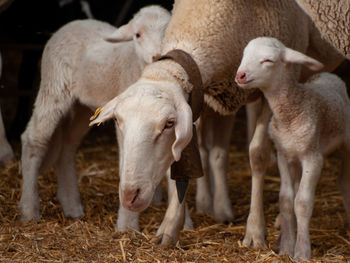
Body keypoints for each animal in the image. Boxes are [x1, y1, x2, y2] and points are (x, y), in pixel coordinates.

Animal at [19, 5, 174, 228]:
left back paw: (72, 207)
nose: (157, 56)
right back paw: (30, 210)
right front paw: (128, 225)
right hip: (54, 85)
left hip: (83, 107)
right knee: (34, 138)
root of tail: (72, 24)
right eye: (137, 34)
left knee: (67, 145)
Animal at [91, 0, 344, 248]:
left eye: (169, 124)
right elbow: (190, 154)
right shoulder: (200, 94)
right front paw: (170, 227)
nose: (129, 197)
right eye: (118, 120)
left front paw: (255, 231)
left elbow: (258, 155)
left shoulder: (272, 87)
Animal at [235, 36, 350, 260]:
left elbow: (302, 202)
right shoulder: (283, 154)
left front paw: (302, 252)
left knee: (345, 181)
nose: (240, 75)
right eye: (244, 55)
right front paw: (286, 247)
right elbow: (287, 200)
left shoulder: (313, 158)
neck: (292, 109)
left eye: (268, 60)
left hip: (347, 141)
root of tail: (328, 75)